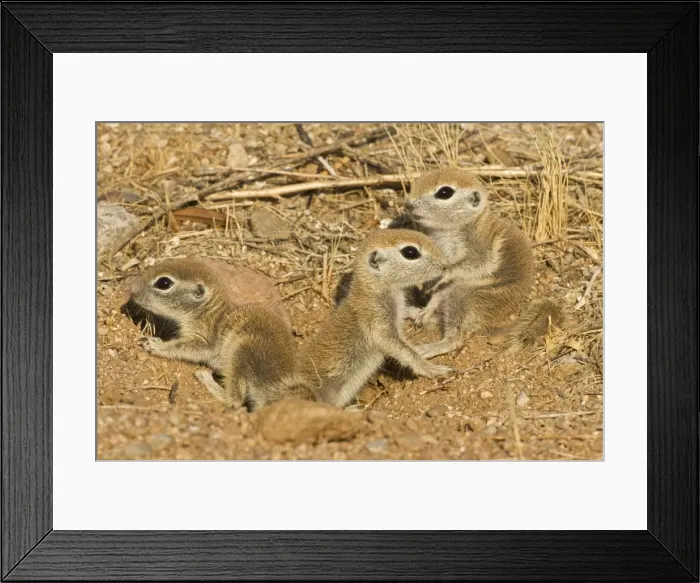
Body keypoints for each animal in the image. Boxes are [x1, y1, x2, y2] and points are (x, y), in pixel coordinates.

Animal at [122, 258, 310, 412]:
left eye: (164, 282)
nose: (132, 289)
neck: (208, 310)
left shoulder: (206, 339)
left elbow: (186, 347)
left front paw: (156, 345)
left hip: (242, 352)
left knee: (235, 401)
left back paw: (207, 380)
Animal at [298, 229, 456, 409]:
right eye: (410, 252)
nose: (445, 264)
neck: (373, 290)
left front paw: (422, 314)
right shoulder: (379, 323)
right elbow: (402, 350)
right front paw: (430, 368)